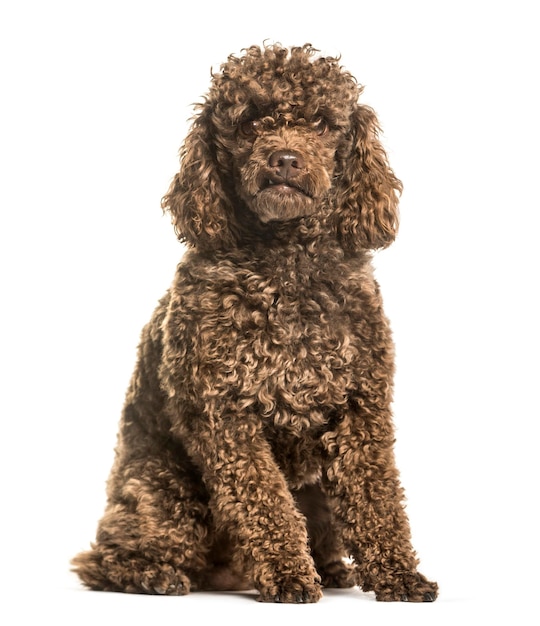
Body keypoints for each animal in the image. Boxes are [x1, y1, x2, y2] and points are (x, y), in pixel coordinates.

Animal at [71, 42, 436, 600]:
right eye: (248, 123)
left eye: (322, 123)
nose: (284, 158)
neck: (286, 267)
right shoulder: (223, 416)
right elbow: (263, 500)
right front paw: (287, 574)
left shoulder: (361, 409)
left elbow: (377, 498)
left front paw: (399, 574)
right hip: (166, 493)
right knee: (104, 558)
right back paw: (151, 573)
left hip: (316, 496)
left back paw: (333, 569)